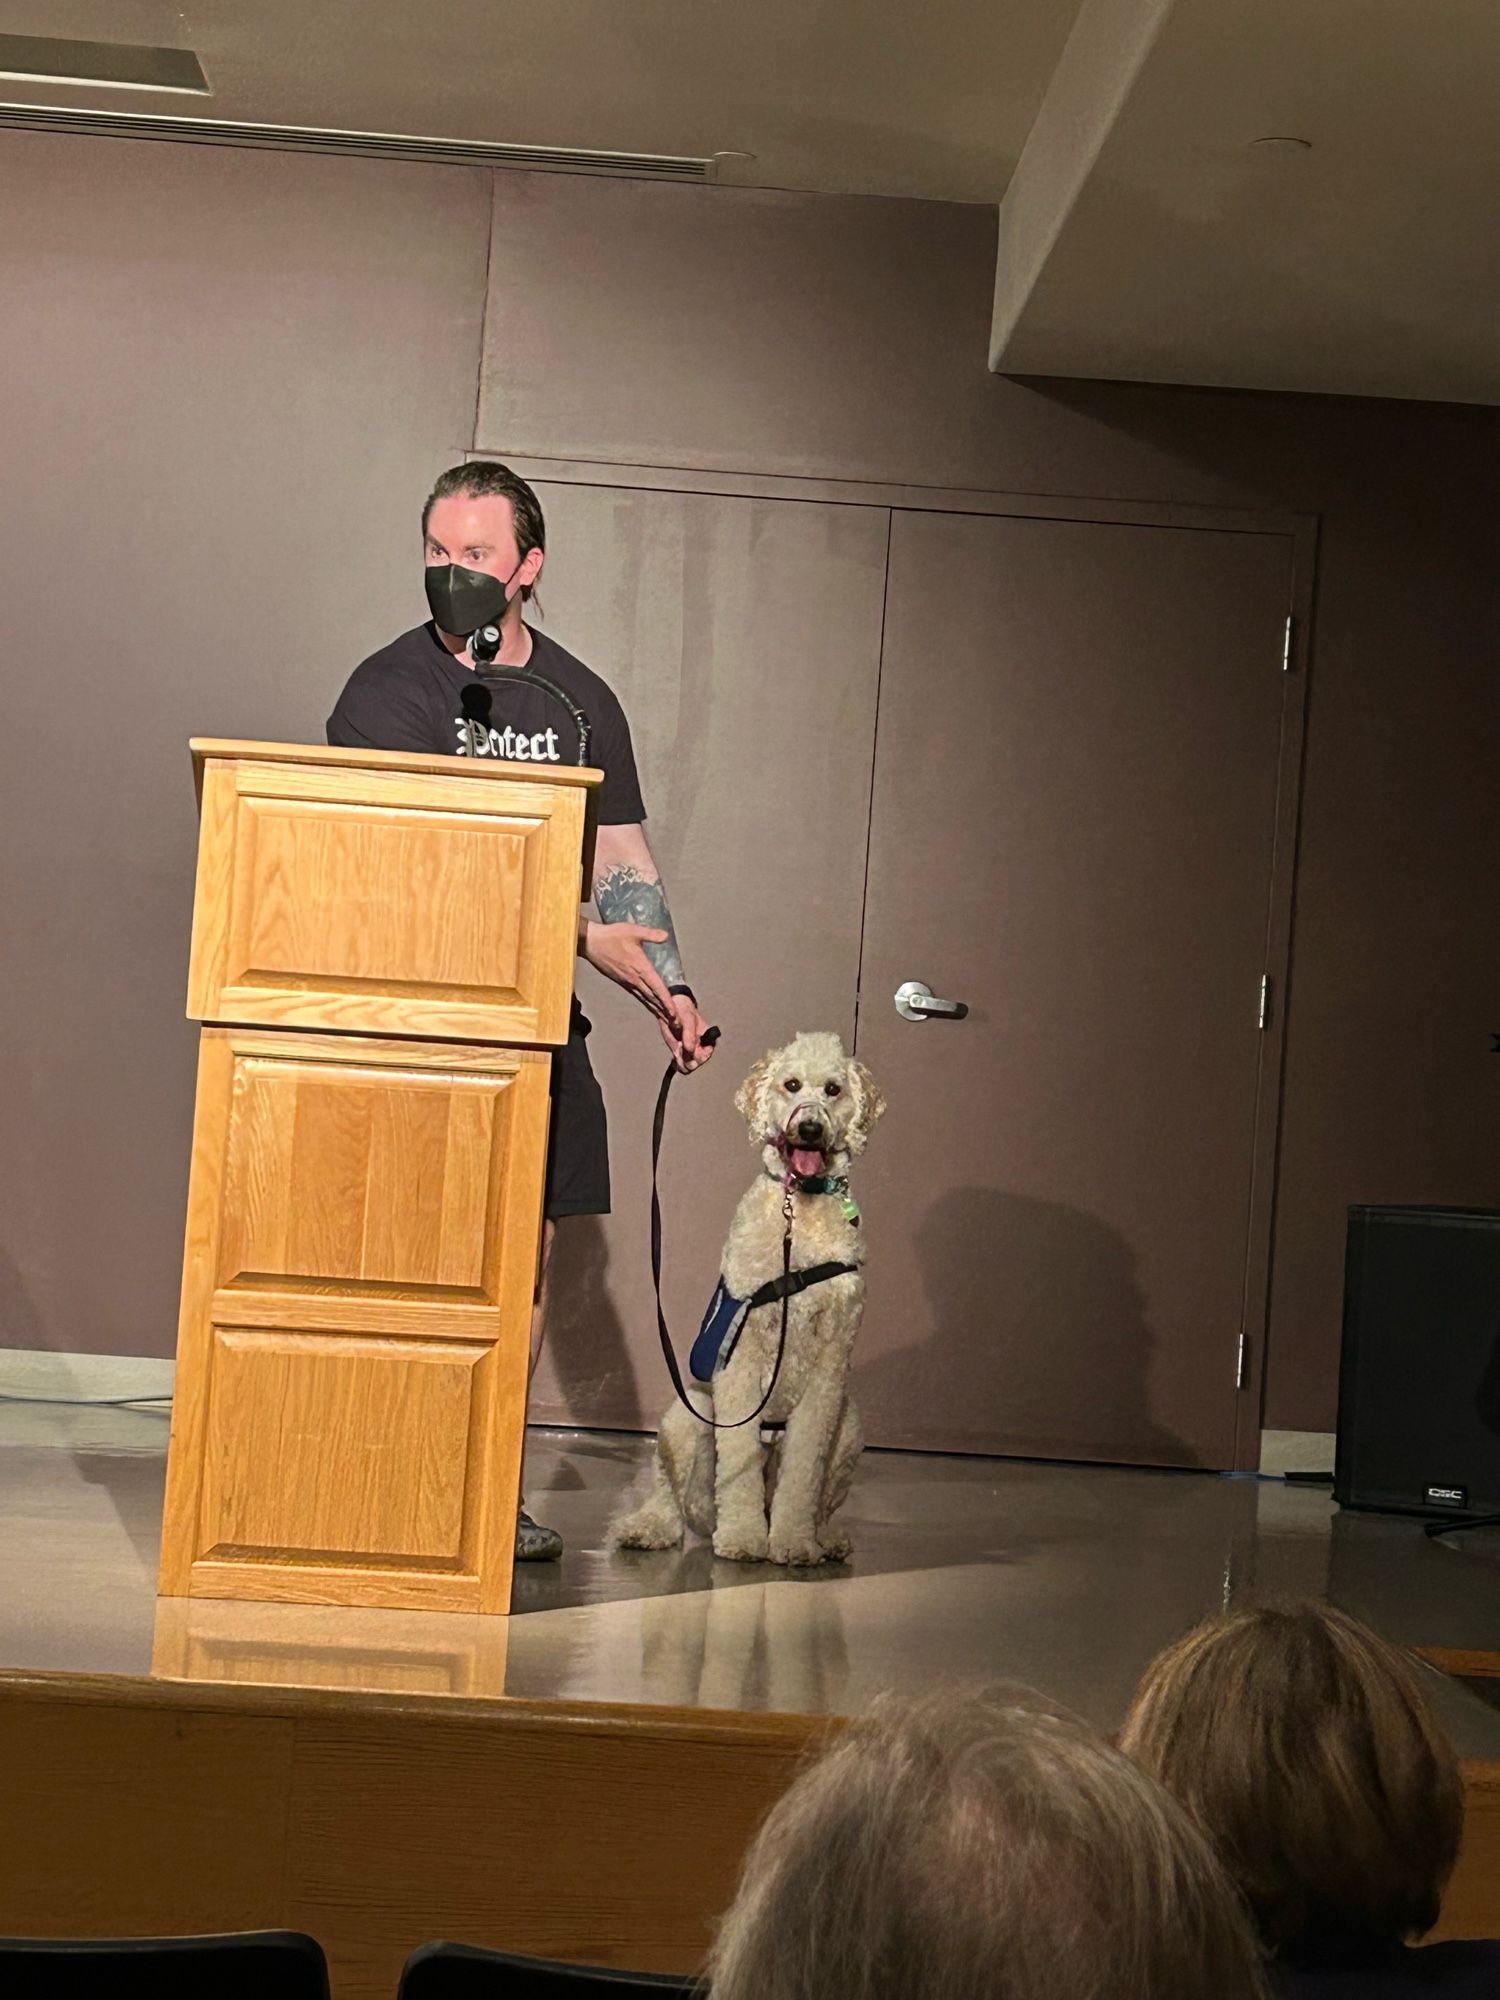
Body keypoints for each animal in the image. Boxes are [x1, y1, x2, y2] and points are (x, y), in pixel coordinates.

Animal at [616, 1040, 888, 1568]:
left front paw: (793, 1542)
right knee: (670, 1496)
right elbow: (737, 1460)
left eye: (833, 1089)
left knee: (821, 1498)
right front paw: (744, 1538)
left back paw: (826, 1539)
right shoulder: (740, 1356)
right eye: (791, 1085)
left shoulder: (830, 1365)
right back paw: (648, 1526)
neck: (798, 1214)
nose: (810, 1128)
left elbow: (804, 1473)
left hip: (851, 1427)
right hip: (682, 1419)